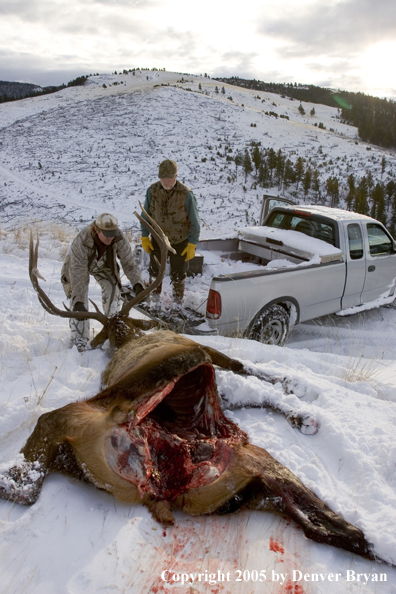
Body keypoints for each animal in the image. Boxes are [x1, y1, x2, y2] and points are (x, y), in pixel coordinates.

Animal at [0, 210, 386, 560]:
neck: (127, 336)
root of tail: (158, 494)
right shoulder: (191, 355)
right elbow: (246, 375)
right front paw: (294, 397)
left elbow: (248, 376)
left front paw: (294, 395)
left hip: (248, 466)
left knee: (335, 528)